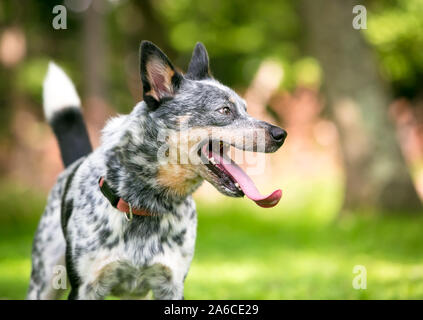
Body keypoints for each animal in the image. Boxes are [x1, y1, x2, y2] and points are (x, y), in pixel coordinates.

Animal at [27, 40, 288, 300]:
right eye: (225, 110)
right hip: (43, 281)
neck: (147, 204)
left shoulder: (171, 285)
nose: (281, 134)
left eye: (245, 108)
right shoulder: (84, 288)